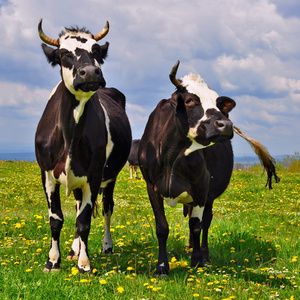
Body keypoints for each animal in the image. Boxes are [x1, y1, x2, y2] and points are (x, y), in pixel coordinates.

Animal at [34, 18, 131, 272]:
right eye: (63, 54)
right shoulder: (46, 174)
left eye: (96, 51)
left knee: (106, 207)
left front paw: (84, 263)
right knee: (78, 205)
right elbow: (56, 218)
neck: (70, 134)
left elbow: (84, 221)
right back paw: (73, 250)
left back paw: (106, 247)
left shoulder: (94, 175)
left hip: (110, 176)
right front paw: (53, 260)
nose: (90, 72)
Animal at [138, 61, 278, 276]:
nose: (226, 124)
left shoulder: (201, 187)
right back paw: (189, 248)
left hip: (210, 196)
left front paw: (197, 261)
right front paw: (162, 267)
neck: (172, 154)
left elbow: (196, 225)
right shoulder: (151, 186)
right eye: (189, 100)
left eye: (217, 103)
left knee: (206, 221)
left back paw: (204, 255)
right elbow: (162, 227)